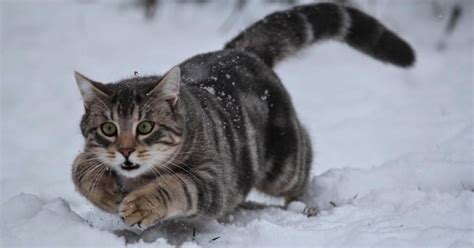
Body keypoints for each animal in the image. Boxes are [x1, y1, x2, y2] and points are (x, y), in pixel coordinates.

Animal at [71, 2, 414, 230]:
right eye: (108, 128)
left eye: (145, 126)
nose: (126, 151)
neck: (136, 178)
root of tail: (241, 51)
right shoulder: (91, 152)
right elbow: (79, 166)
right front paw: (104, 192)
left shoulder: (211, 178)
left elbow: (176, 184)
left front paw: (142, 204)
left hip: (283, 162)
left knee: (304, 157)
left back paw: (302, 207)